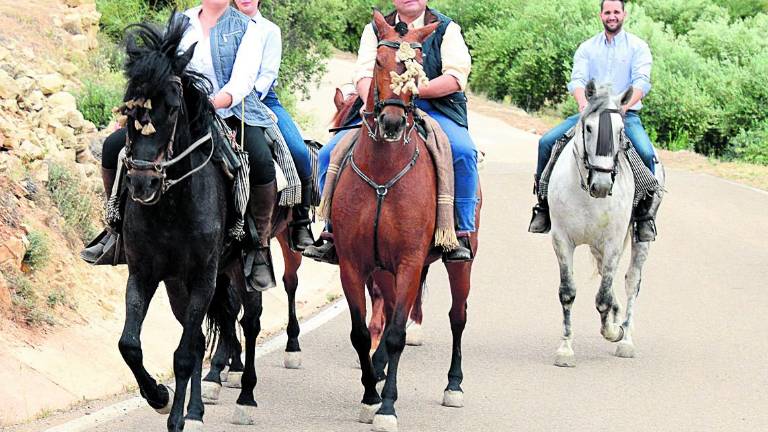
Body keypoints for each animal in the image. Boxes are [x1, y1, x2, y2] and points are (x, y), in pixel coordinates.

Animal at [115, 15, 304, 430]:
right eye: (128, 110)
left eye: (172, 109)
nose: (142, 182)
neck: (171, 206)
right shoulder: (146, 273)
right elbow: (131, 345)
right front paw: (159, 396)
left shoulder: (203, 275)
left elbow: (185, 353)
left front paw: (177, 418)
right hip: (187, 282)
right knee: (210, 331)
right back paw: (201, 403)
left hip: (240, 269)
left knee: (250, 322)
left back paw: (245, 398)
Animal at [332, 11, 484, 432]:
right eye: (380, 62)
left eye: (416, 68)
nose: (391, 123)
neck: (383, 173)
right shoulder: (353, 263)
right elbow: (360, 331)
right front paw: (370, 395)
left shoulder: (410, 262)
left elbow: (398, 333)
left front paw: (387, 406)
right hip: (384, 270)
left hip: (460, 264)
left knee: (458, 317)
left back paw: (454, 385)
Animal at [548, 80, 664, 364]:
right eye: (589, 127)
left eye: (620, 131)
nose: (601, 185)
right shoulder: (561, 240)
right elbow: (568, 292)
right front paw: (565, 349)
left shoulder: (612, 242)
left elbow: (603, 296)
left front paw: (613, 332)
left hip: (637, 241)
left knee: (631, 282)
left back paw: (626, 341)